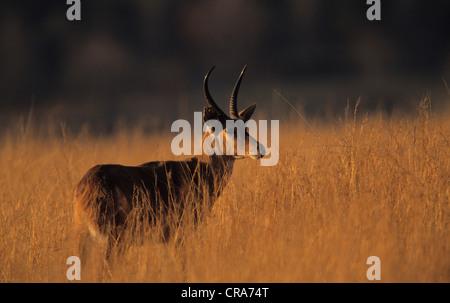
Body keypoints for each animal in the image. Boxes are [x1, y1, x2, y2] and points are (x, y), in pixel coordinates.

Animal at [72, 66, 266, 256]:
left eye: (246, 128)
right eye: (230, 130)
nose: (259, 149)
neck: (196, 168)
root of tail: (92, 181)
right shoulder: (178, 237)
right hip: (115, 241)